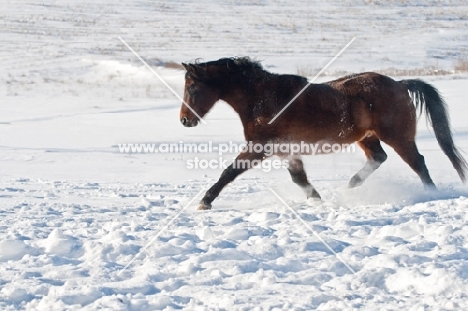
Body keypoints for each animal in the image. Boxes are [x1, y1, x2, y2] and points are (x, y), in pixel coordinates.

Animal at [179, 57, 464, 211]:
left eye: (192, 87)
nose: (184, 120)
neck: (261, 98)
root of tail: (401, 85)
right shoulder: (285, 151)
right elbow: (299, 179)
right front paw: (320, 200)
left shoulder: (260, 147)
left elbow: (229, 172)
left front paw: (205, 202)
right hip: (367, 137)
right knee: (378, 158)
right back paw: (349, 187)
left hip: (398, 137)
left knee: (418, 163)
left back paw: (430, 194)